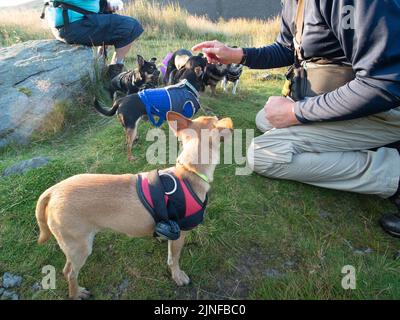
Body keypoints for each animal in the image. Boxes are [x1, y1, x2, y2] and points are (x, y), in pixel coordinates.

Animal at [36, 111, 234, 298]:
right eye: (216, 119)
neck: (188, 171)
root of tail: (53, 191)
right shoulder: (181, 234)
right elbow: (174, 259)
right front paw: (177, 275)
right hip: (79, 248)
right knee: (69, 273)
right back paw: (76, 293)